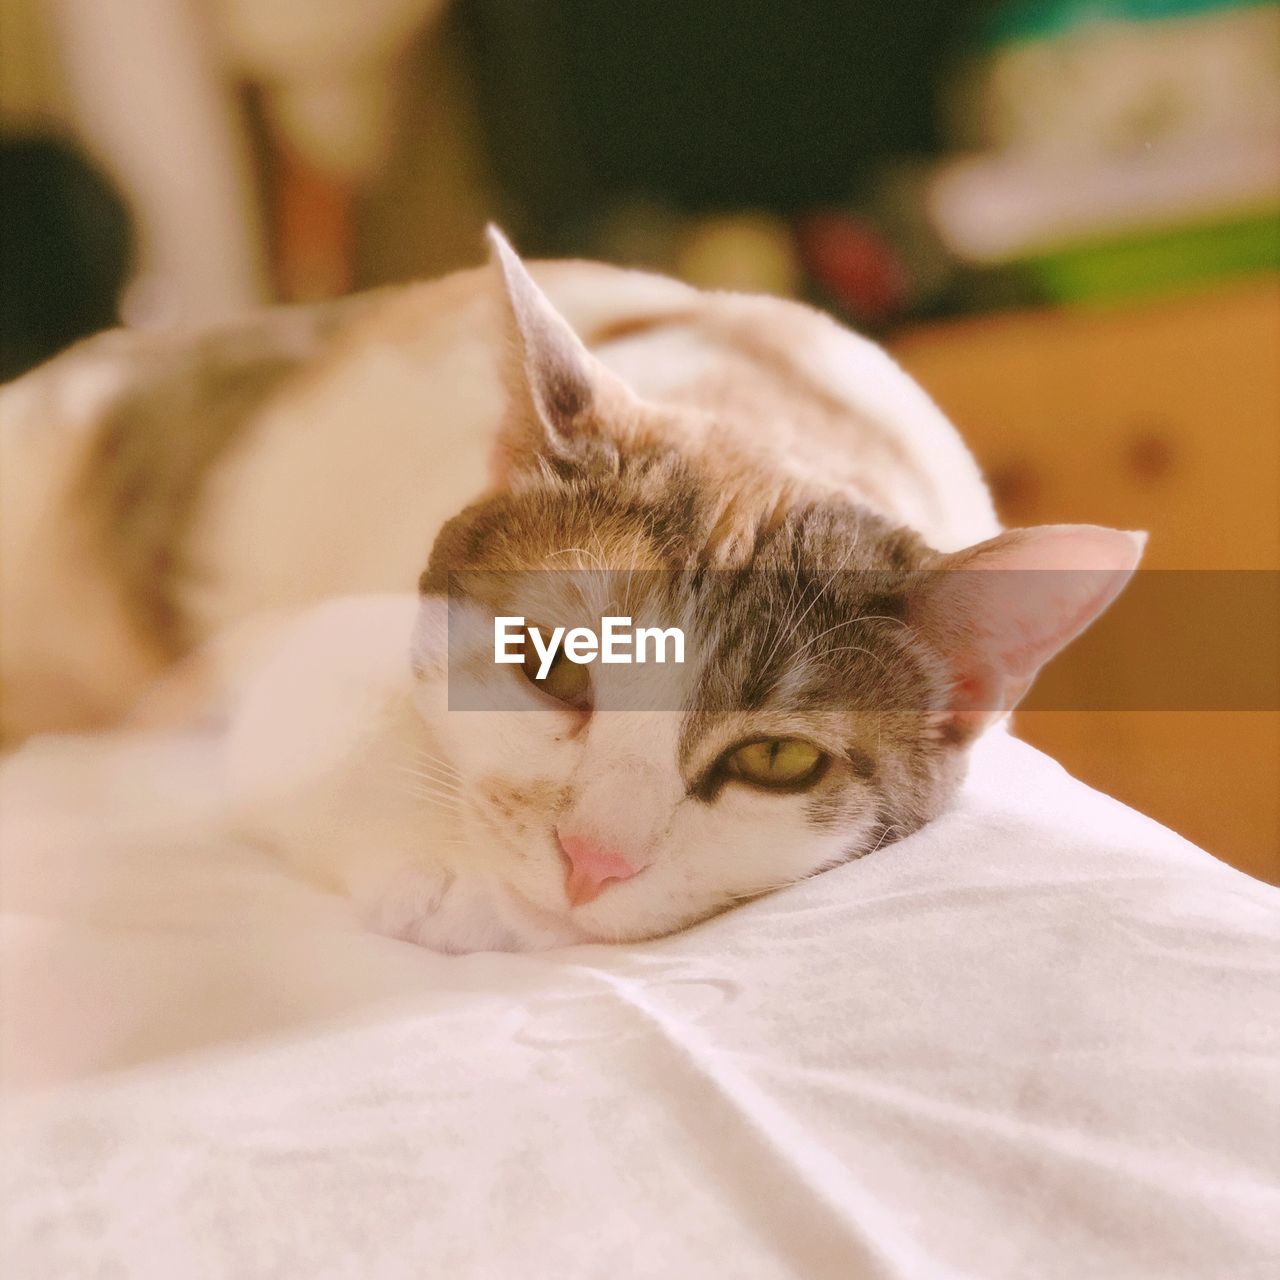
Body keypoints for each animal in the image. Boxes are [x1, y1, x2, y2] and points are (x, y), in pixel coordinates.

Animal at [0, 230, 1141, 952]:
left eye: (775, 760)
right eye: (545, 664)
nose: (591, 861)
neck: (772, 408)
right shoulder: (279, 652)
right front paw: (454, 872)